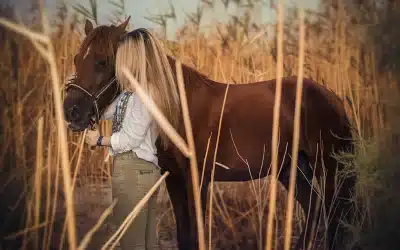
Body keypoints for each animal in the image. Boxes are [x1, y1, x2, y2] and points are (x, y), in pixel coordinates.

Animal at [62, 18, 356, 250]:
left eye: (102, 61)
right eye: (76, 59)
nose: (71, 112)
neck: (176, 106)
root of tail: (334, 98)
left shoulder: (198, 179)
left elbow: (197, 235)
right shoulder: (174, 179)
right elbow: (184, 235)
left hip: (331, 169)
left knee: (336, 217)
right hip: (293, 169)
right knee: (315, 208)